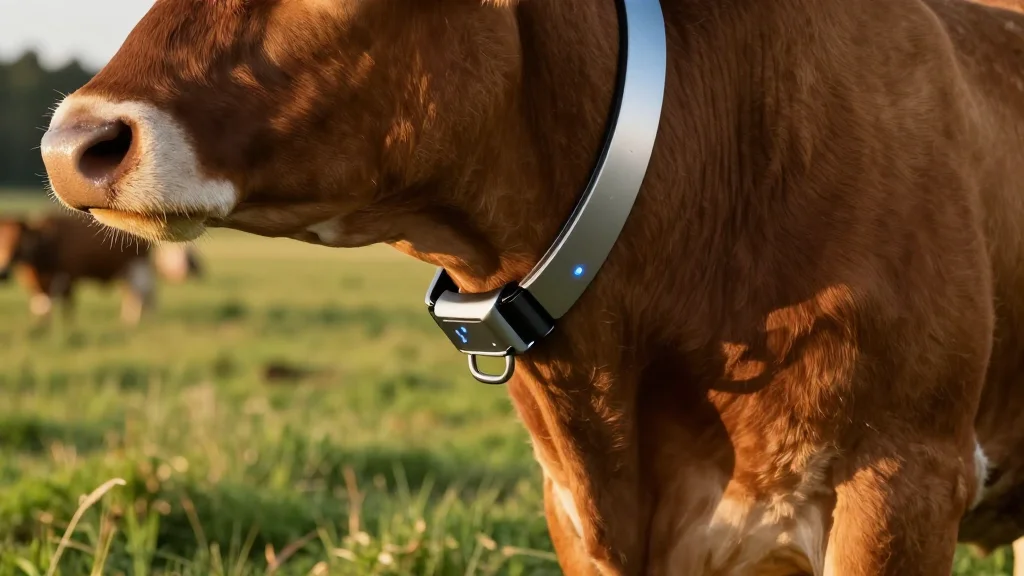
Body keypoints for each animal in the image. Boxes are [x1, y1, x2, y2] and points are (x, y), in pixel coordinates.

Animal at [0, 213, 156, 325]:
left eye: (18, 240)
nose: (4, 272)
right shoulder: (35, 286)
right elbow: (41, 308)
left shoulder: (68, 278)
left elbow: (68, 308)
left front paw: (67, 330)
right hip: (126, 273)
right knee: (132, 294)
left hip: (139, 269)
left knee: (142, 295)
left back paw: (137, 322)